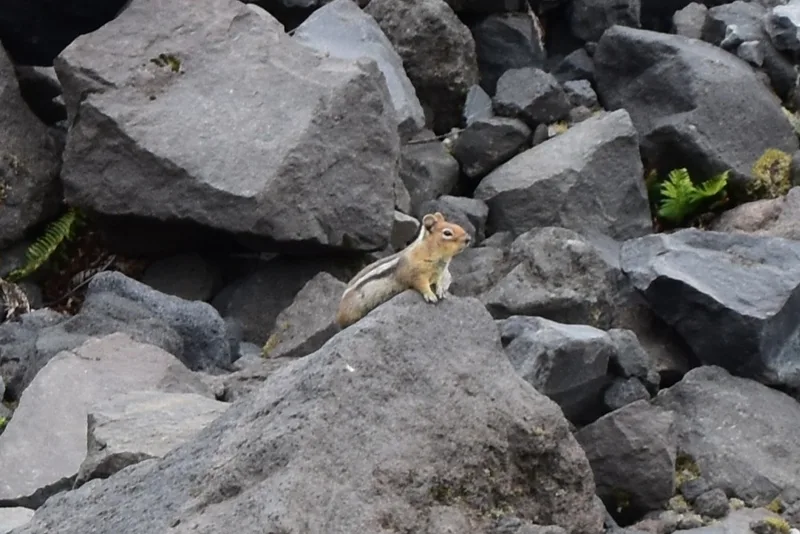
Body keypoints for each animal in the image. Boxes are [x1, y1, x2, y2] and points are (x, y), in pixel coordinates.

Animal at [335, 211, 472, 328]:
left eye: (457, 225)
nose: (468, 239)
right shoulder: (415, 274)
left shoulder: (438, 274)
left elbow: (438, 282)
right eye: (447, 233)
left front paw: (440, 290)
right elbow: (420, 284)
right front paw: (430, 295)